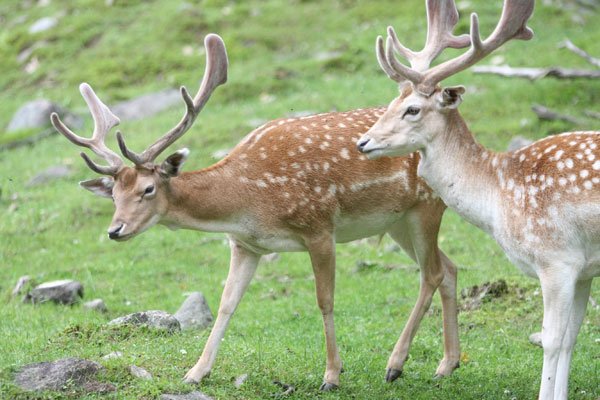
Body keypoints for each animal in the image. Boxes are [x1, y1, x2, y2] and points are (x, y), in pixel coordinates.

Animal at [52, 32, 464, 390]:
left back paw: (396, 364)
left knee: (431, 273)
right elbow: (226, 304)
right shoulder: (245, 244)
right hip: (398, 220)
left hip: (426, 206)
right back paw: (448, 363)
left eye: (147, 189)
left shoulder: (319, 226)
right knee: (449, 267)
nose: (115, 230)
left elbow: (325, 300)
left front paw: (332, 374)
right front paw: (195, 372)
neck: (250, 201)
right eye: (113, 195)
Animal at [358, 1, 596, 398]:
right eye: (392, 102)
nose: (363, 142)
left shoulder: (556, 260)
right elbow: (571, 338)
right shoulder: (584, 268)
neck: (498, 198)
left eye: (412, 109)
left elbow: (551, 339)